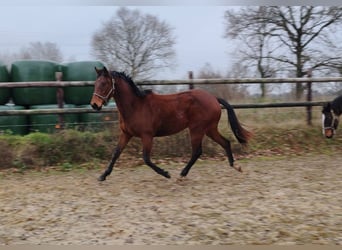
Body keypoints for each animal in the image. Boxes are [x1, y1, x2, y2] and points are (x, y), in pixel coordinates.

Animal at [89, 66, 252, 181]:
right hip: (209, 129)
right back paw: (236, 166)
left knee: (197, 151)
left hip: (197, 129)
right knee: (225, 142)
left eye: (104, 83)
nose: (94, 105)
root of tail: (213, 98)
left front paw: (166, 173)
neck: (135, 106)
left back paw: (182, 174)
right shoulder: (126, 134)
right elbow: (116, 153)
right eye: (95, 84)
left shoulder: (147, 136)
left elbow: (146, 159)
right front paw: (103, 176)